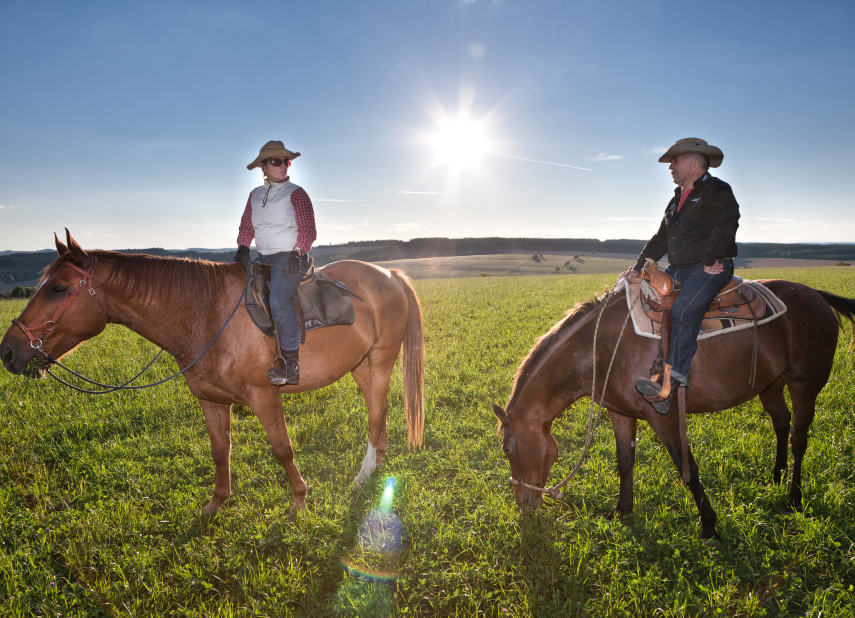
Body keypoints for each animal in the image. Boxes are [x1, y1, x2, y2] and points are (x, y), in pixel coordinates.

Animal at [0, 230, 426, 510]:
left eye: (57, 288)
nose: (8, 351)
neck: (207, 314)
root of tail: (391, 276)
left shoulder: (264, 396)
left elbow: (282, 449)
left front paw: (299, 501)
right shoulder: (210, 400)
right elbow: (220, 451)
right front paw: (217, 502)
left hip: (381, 359)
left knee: (376, 412)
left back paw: (364, 472)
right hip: (360, 366)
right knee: (377, 411)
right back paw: (377, 463)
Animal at [494, 276, 855, 536]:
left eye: (508, 449)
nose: (523, 505)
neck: (600, 349)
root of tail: (816, 295)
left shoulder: (662, 416)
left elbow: (687, 468)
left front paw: (708, 524)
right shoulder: (619, 412)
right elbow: (625, 461)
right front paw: (621, 510)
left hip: (804, 385)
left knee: (798, 439)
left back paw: (794, 497)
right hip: (771, 384)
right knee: (781, 422)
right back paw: (777, 476)